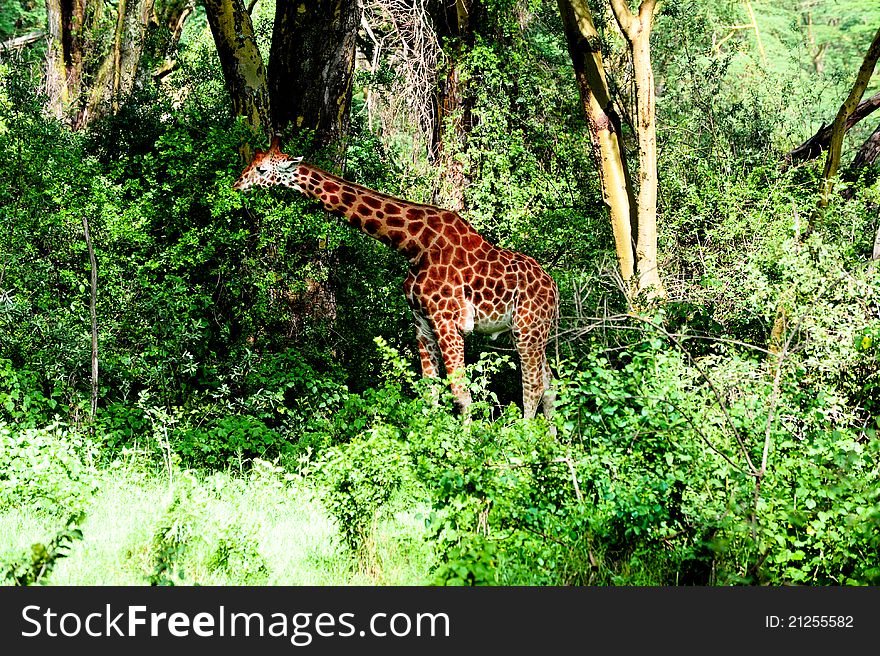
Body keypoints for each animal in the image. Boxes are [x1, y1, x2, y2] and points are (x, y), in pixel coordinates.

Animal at [234, 138, 556, 420]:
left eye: (261, 169)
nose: (236, 185)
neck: (414, 245)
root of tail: (554, 289)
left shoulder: (447, 321)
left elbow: (460, 393)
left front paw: (466, 445)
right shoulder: (422, 321)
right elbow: (430, 391)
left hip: (527, 329)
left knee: (533, 387)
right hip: (533, 331)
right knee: (549, 384)